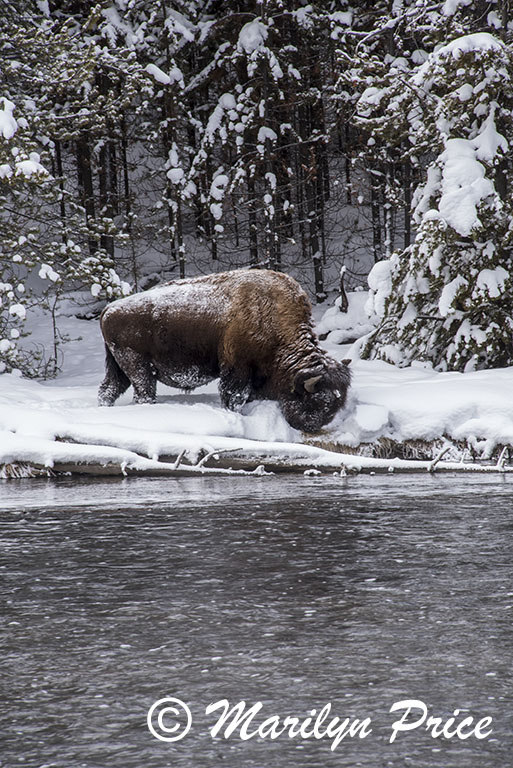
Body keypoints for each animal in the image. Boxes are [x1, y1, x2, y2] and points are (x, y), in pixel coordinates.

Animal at [98, 269, 350, 433]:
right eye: (315, 401)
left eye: (336, 406)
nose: (311, 427)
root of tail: (109, 309)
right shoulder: (237, 367)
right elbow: (234, 395)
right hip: (138, 368)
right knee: (143, 393)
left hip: (119, 368)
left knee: (108, 390)